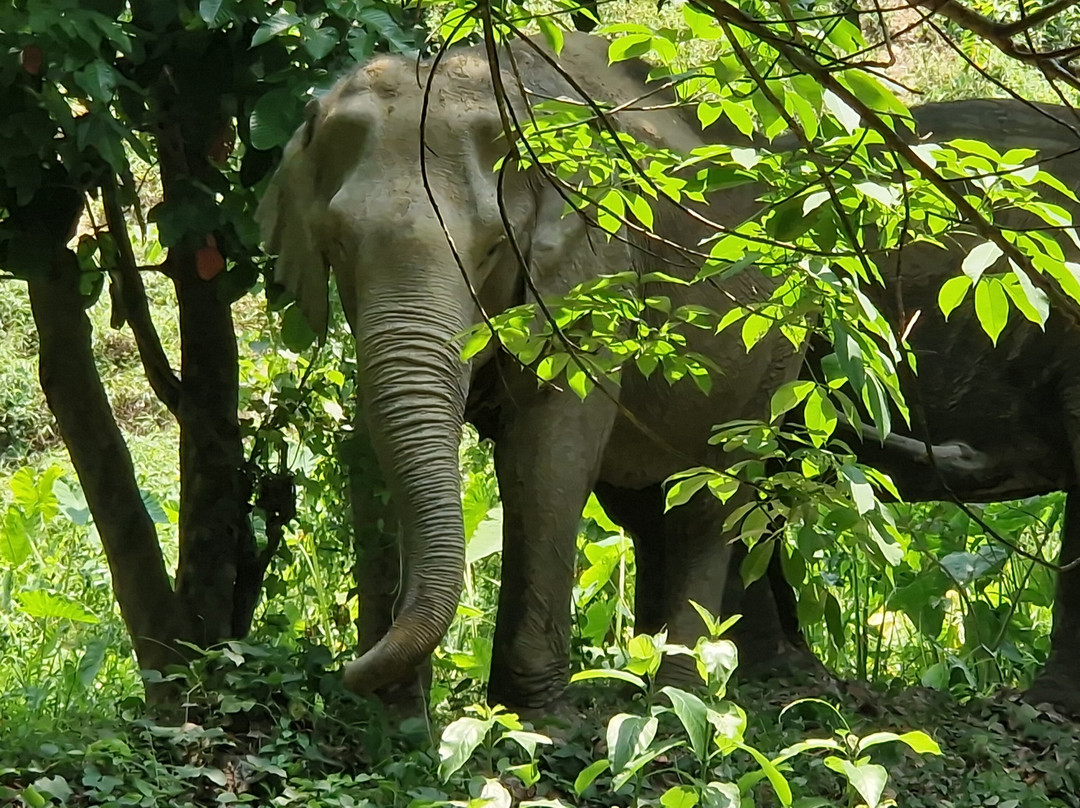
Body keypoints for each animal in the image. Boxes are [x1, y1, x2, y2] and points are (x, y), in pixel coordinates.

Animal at [258, 29, 1080, 711]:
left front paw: (536, 719)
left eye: (494, 249)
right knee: (662, 503)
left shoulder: (595, 264)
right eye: (334, 244)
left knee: (713, 496)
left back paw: (688, 699)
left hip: (781, 338)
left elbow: (552, 450)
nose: (345, 671)